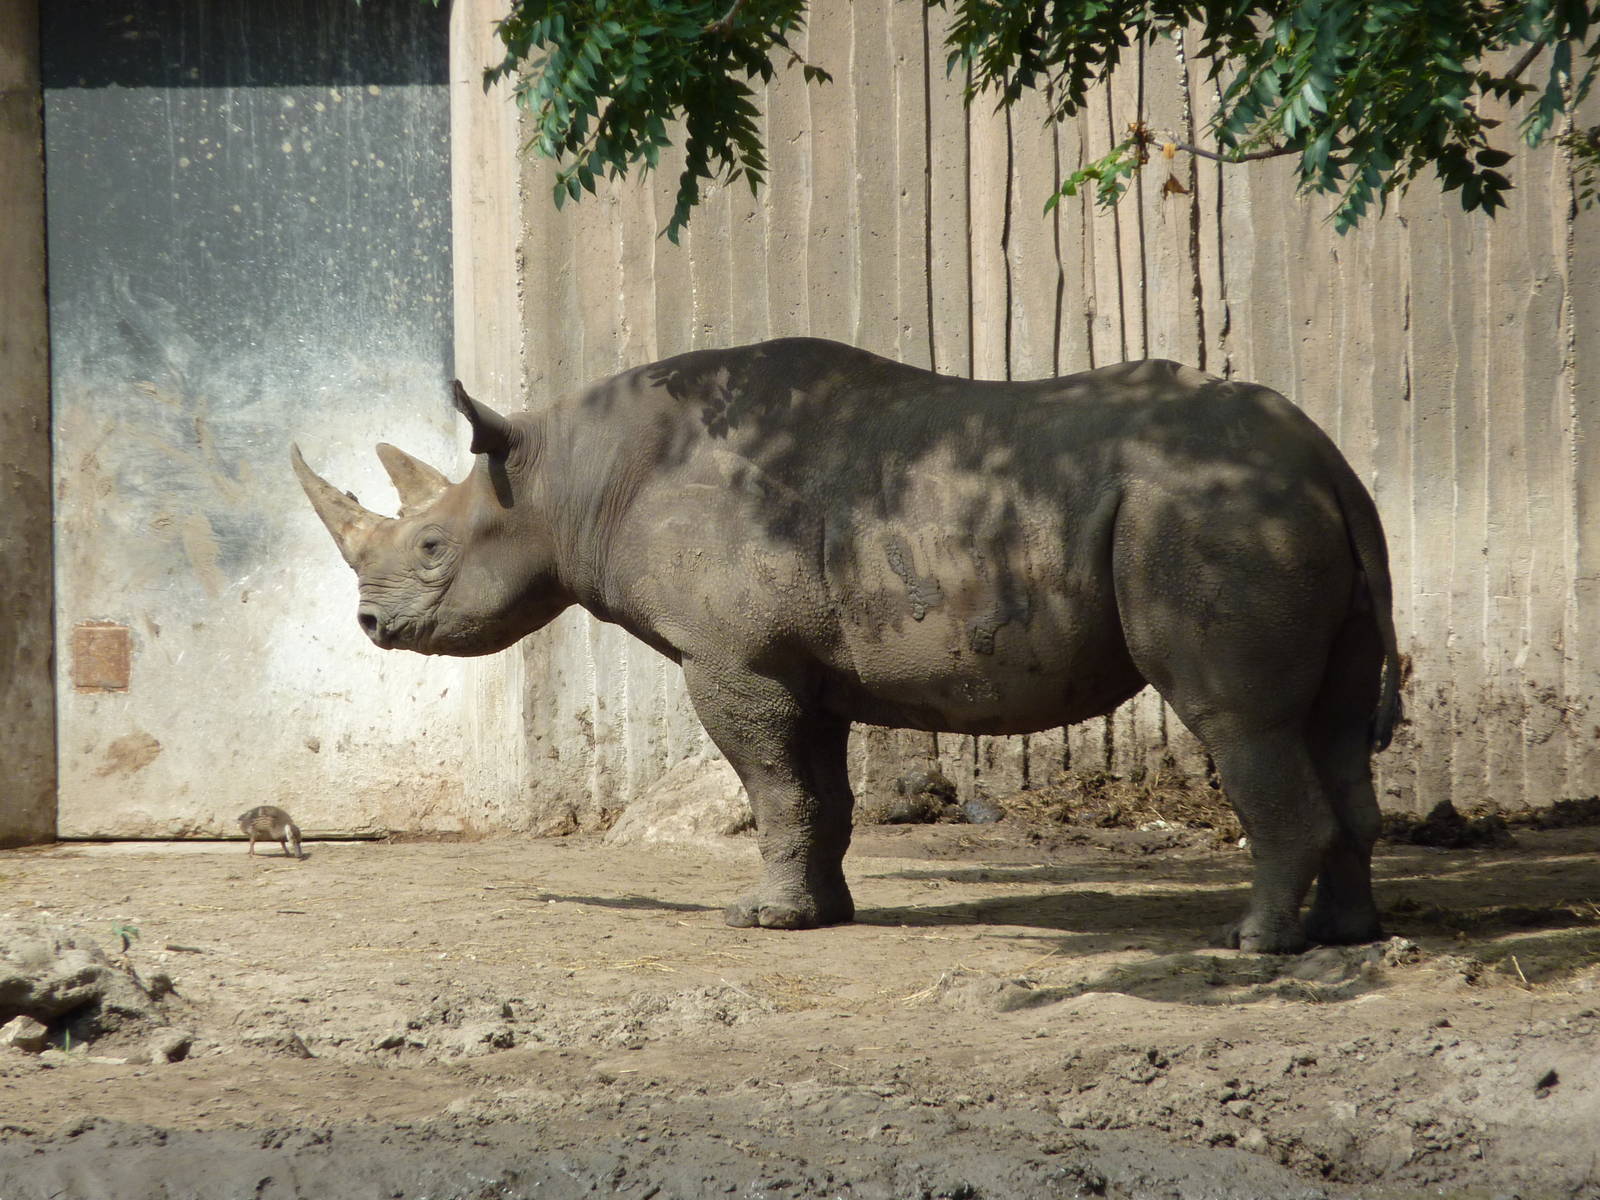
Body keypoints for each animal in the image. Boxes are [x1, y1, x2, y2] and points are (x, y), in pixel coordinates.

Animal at [293, 338, 1401, 954]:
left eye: (432, 547)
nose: (369, 626)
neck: (569, 479)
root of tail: (1324, 459)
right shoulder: (796, 666)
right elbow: (815, 795)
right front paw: (820, 915)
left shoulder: (732, 662)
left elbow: (772, 789)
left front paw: (759, 923)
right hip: (1281, 508)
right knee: (1339, 728)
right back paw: (1344, 934)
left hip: (1206, 513)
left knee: (1236, 720)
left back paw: (1253, 945)